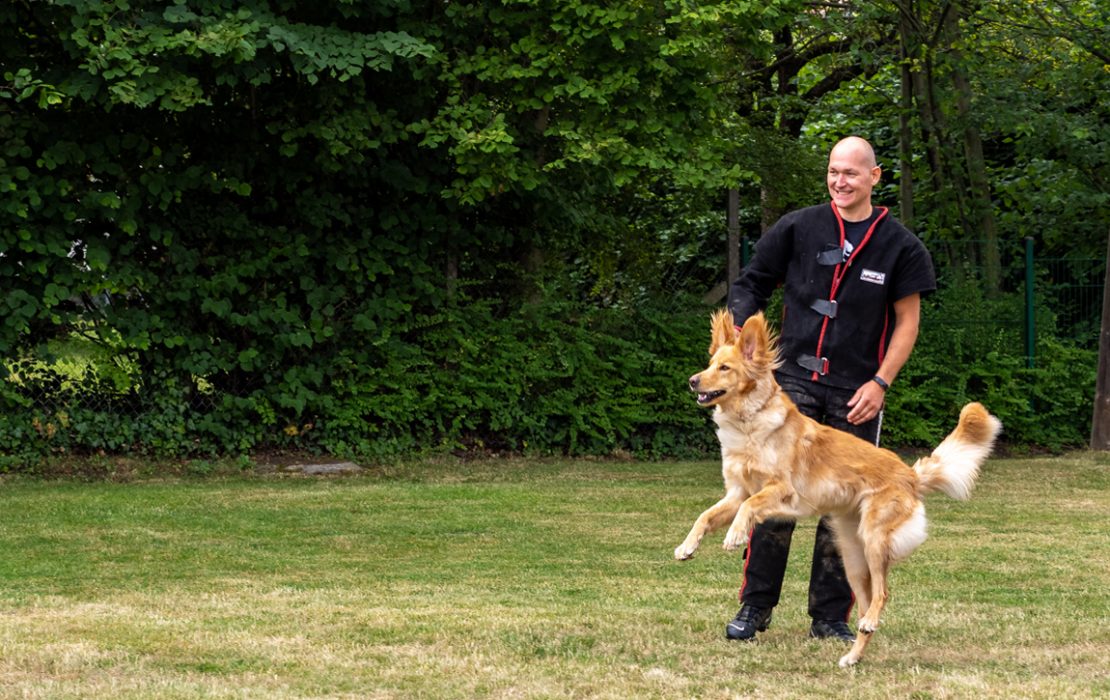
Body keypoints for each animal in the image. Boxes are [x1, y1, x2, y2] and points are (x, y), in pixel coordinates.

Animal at [670, 310, 1003, 670]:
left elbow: (748, 509)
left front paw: (735, 535)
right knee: (867, 604)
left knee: (883, 594)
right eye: (709, 363)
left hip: (873, 540)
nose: (692, 381)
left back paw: (865, 627)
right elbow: (705, 517)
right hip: (853, 558)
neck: (748, 425)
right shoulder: (735, 492)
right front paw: (687, 547)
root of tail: (910, 475)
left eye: (724, 368)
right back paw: (853, 655)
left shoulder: (780, 489)